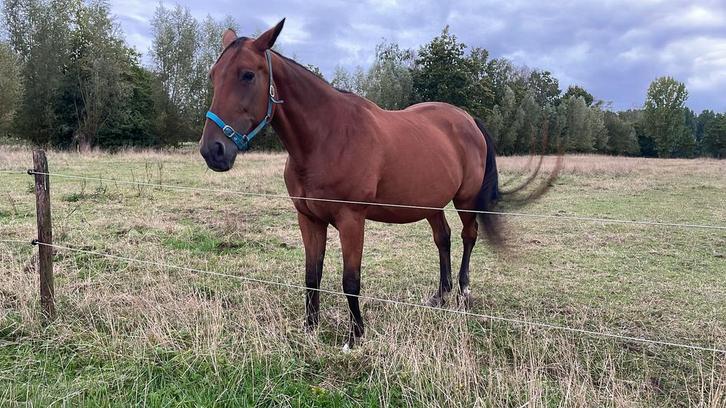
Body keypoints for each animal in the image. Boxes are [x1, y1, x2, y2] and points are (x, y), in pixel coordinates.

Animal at [199, 19, 559, 349]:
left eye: (247, 75)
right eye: (214, 75)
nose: (212, 150)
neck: (327, 137)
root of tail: (467, 119)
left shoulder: (351, 220)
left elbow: (350, 280)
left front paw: (354, 337)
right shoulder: (309, 219)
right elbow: (311, 275)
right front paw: (310, 328)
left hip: (466, 200)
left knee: (468, 236)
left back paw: (463, 293)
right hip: (431, 202)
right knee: (443, 239)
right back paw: (439, 296)